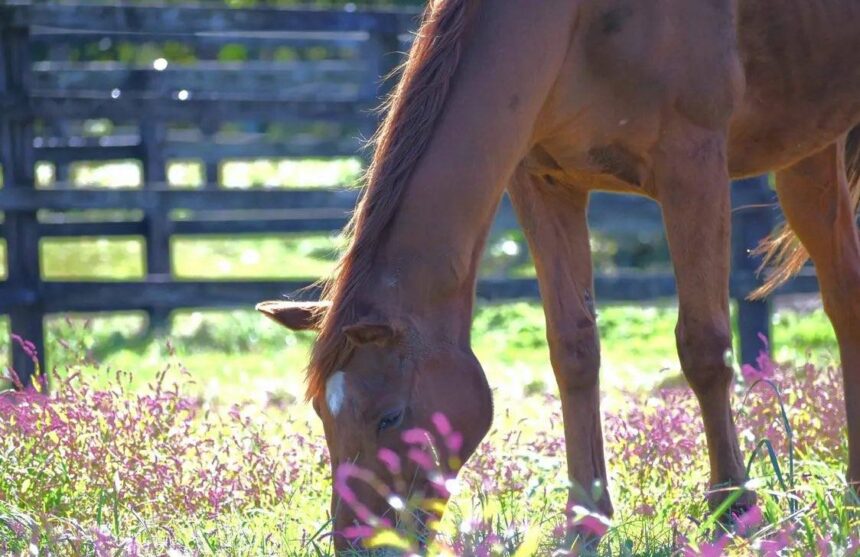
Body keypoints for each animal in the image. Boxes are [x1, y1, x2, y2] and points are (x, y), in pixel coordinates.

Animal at [258, 0, 860, 549]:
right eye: (321, 412)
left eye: (389, 416)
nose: (357, 541)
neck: (577, 21)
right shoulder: (543, 182)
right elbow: (573, 349)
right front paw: (585, 521)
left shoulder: (693, 166)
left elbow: (705, 346)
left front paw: (732, 508)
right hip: (808, 152)